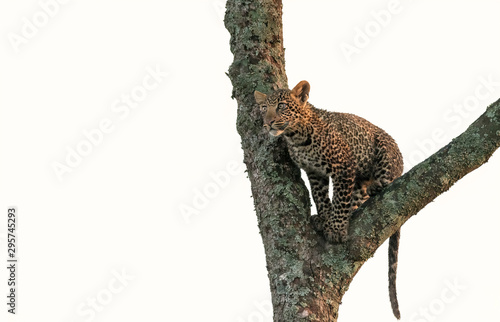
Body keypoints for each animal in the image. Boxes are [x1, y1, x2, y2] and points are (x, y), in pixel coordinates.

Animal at [256, 81, 404, 320]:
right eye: (263, 108)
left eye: (281, 106)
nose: (267, 123)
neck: (298, 138)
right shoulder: (314, 173)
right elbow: (321, 198)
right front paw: (324, 219)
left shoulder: (344, 168)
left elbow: (340, 200)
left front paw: (335, 229)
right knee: (357, 198)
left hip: (384, 150)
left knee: (384, 181)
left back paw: (378, 185)